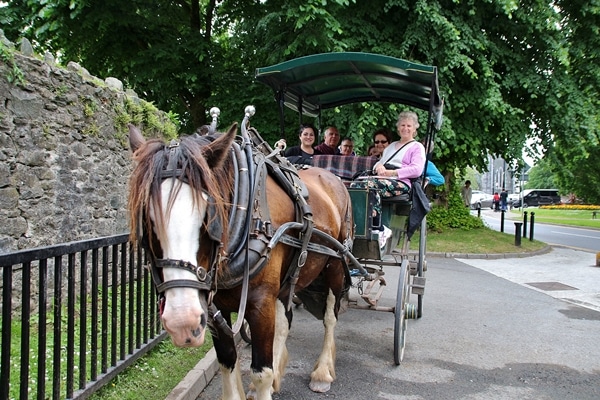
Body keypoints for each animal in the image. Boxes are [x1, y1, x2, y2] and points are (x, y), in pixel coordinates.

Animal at [126, 123, 352, 398]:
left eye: (210, 216)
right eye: (146, 220)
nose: (182, 321)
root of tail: (333, 178)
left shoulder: (261, 303)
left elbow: (261, 372)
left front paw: (268, 381)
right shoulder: (214, 308)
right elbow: (227, 360)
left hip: (335, 266)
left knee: (330, 316)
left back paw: (322, 372)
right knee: (285, 322)